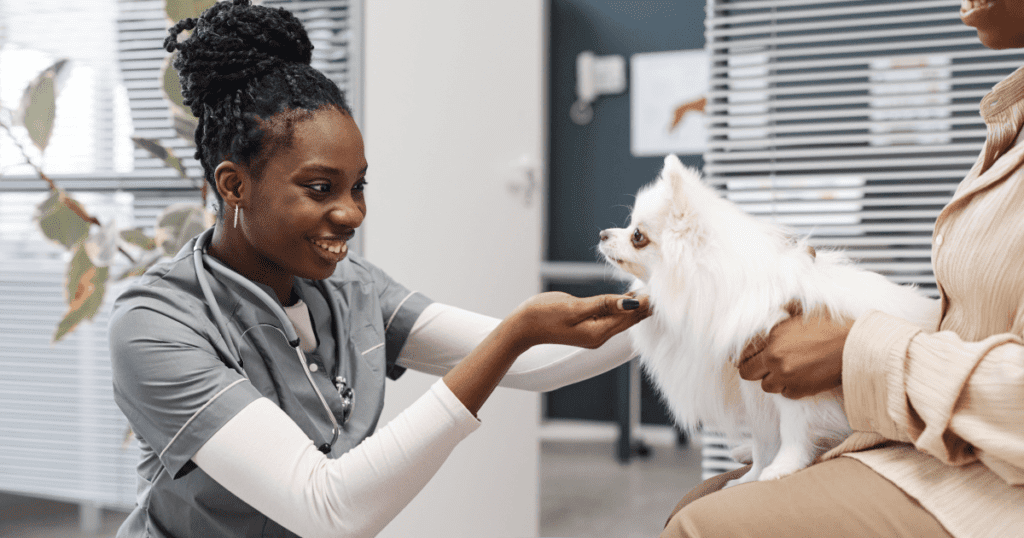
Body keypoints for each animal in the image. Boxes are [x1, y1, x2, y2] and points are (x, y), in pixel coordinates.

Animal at [598, 153, 937, 481]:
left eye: (637, 235)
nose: (602, 233)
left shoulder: (795, 384)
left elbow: (793, 432)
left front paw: (783, 468)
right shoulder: (755, 389)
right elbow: (764, 440)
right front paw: (751, 476)